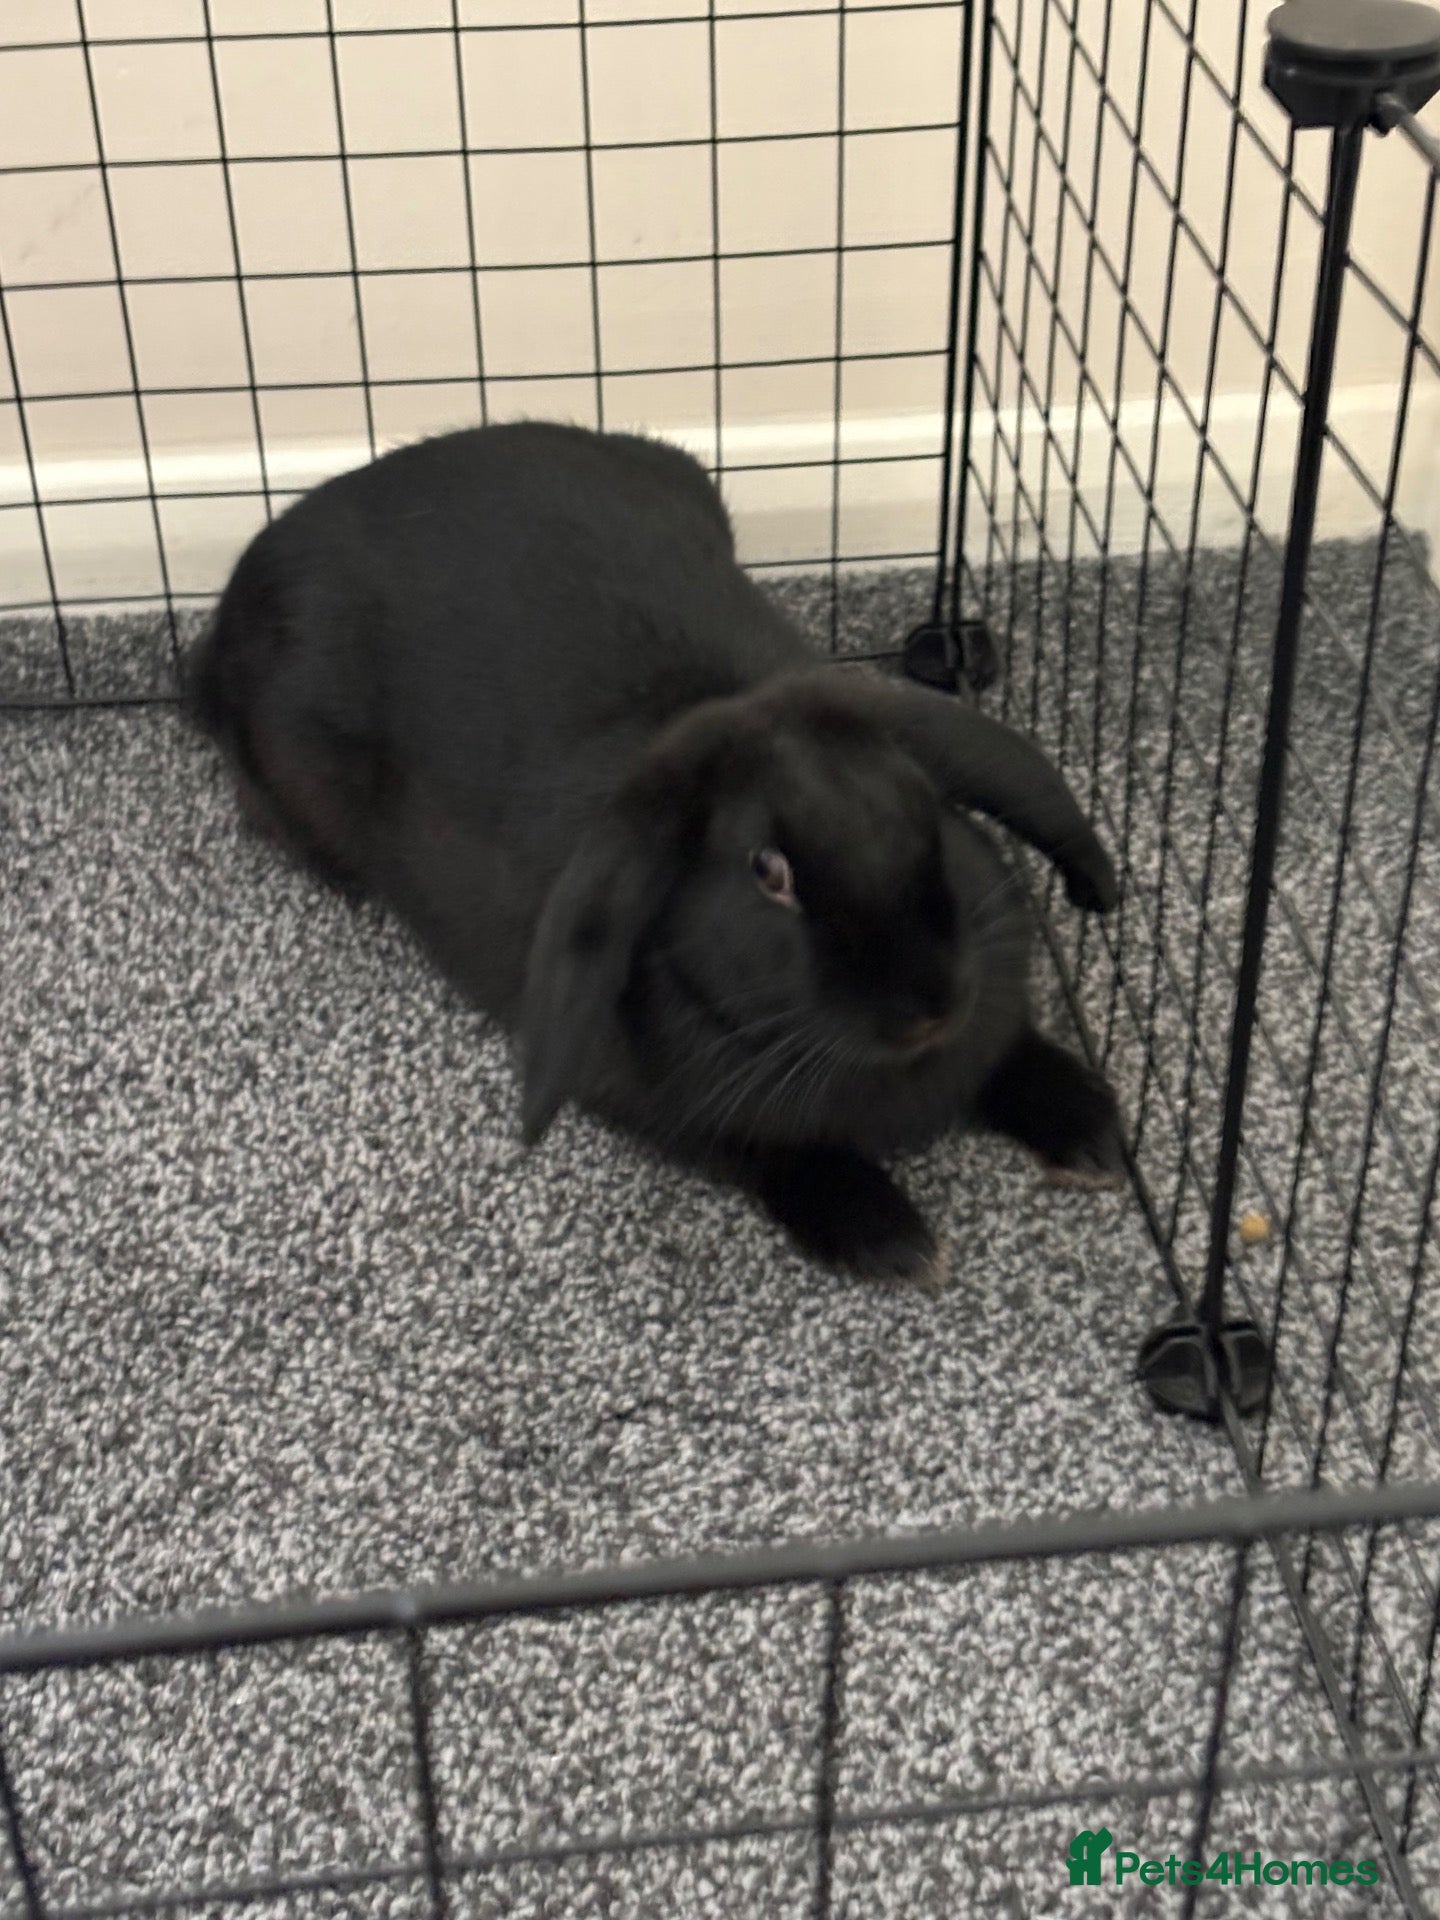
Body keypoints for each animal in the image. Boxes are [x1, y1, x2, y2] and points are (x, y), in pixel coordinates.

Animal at [189, 420, 1125, 1287]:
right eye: (768, 873)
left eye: (926, 808)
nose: (933, 1001)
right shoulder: (677, 1114)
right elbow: (771, 1152)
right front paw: (890, 1240)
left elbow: (1016, 1051)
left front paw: (1096, 1134)